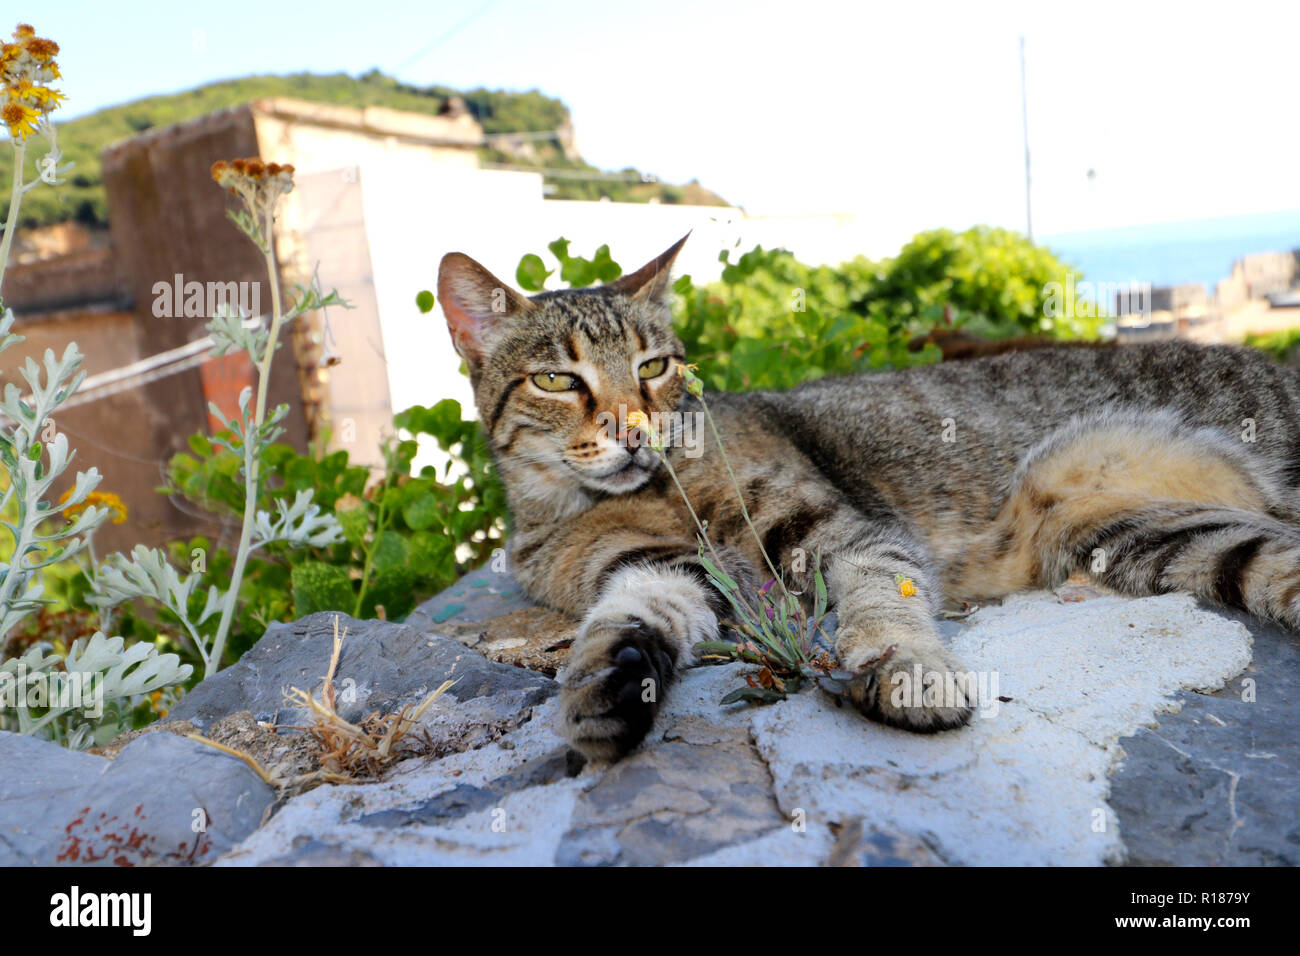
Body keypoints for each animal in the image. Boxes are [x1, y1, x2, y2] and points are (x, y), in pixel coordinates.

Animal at [436, 238, 1300, 764]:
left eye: (653, 367)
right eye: (557, 380)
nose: (637, 429)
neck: (646, 493)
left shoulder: (845, 532)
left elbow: (883, 598)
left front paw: (905, 668)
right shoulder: (662, 570)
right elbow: (638, 609)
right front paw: (613, 682)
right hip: (1175, 537)